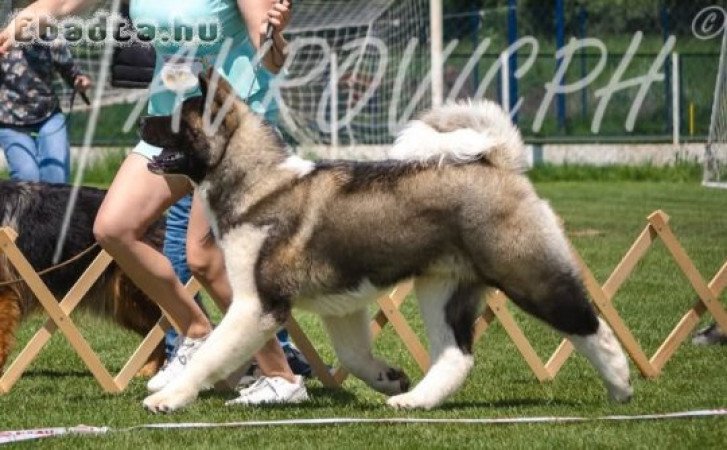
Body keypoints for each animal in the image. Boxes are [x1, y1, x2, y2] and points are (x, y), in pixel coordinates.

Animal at [139, 72, 636, 414]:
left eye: (177, 119)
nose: (143, 118)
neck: (257, 183)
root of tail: (500, 162)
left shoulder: (254, 306)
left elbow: (211, 355)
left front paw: (169, 397)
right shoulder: (340, 306)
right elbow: (353, 355)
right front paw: (388, 377)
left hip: (527, 273)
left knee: (588, 323)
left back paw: (621, 383)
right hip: (442, 289)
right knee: (456, 355)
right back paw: (413, 401)